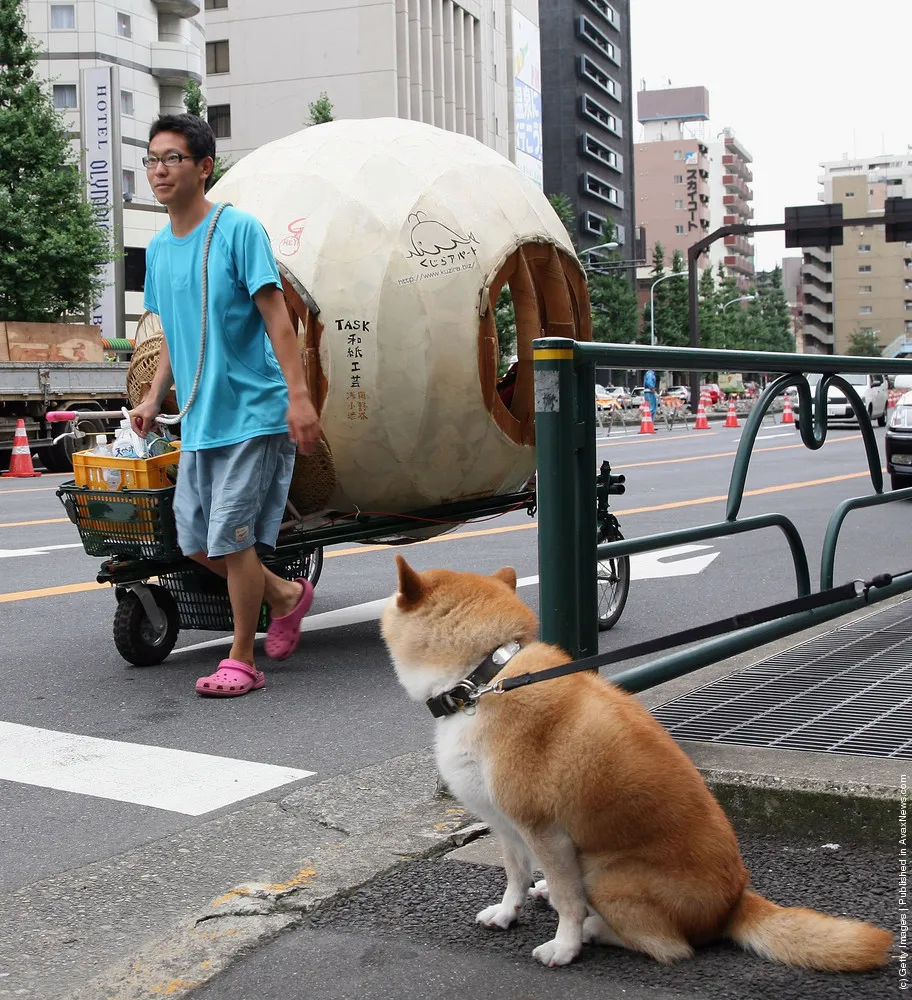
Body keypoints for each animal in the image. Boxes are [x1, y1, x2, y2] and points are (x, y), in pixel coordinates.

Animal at [382, 556, 896, 968]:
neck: (484, 679)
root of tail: (736, 900)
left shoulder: (544, 829)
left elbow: (568, 901)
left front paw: (565, 946)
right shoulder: (507, 824)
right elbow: (514, 874)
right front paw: (509, 912)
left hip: (606, 874)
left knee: (667, 945)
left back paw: (594, 930)